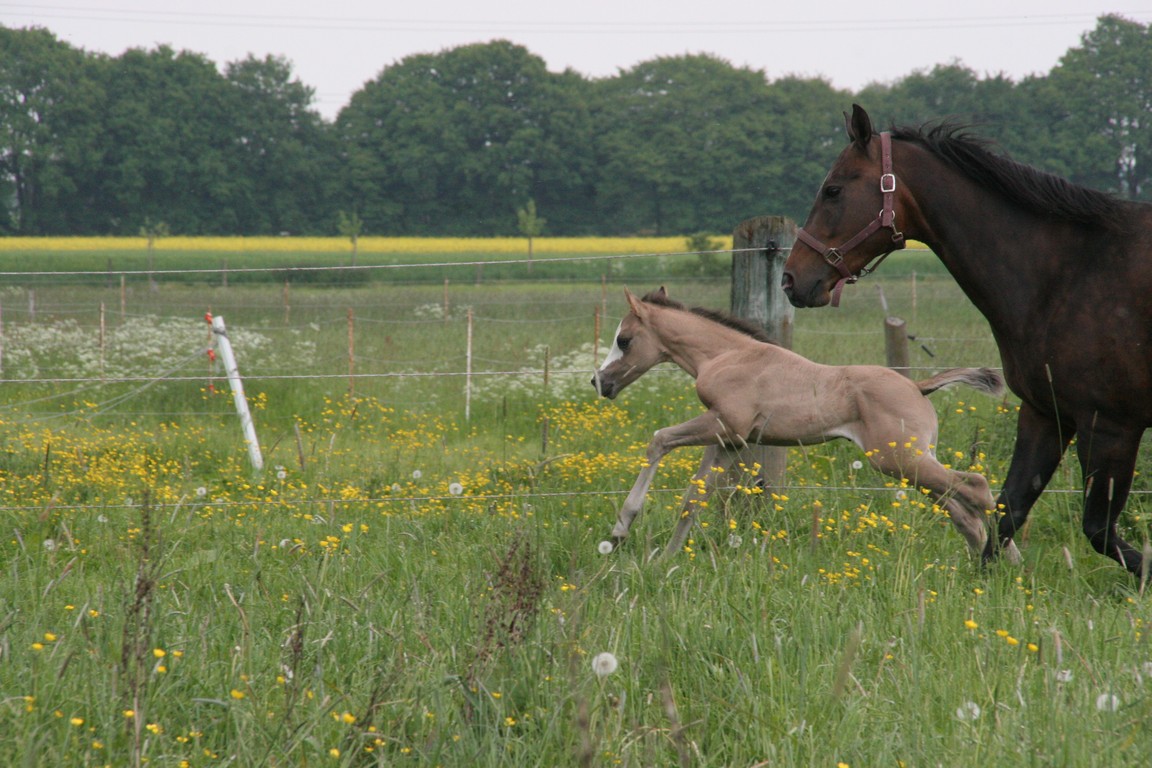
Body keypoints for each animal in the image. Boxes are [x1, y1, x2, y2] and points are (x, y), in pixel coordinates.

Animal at [589, 287, 1013, 559]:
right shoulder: (729, 440)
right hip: (909, 464)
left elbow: (659, 440)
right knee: (962, 511)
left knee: (975, 488)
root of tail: (916, 385)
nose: (599, 381)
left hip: (899, 461)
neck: (727, 356)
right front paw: (664, 561)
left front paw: (621, 528)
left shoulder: (724, 425)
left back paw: (1004, 563)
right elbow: (692, 498)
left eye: (624, 340)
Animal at [787, 106, 1152, 575]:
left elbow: (1098, 528)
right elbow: (1008, 511)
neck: (1068, 274)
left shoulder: (1109, 425)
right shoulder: (1045, 413)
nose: (791, 279)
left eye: (832, 190)